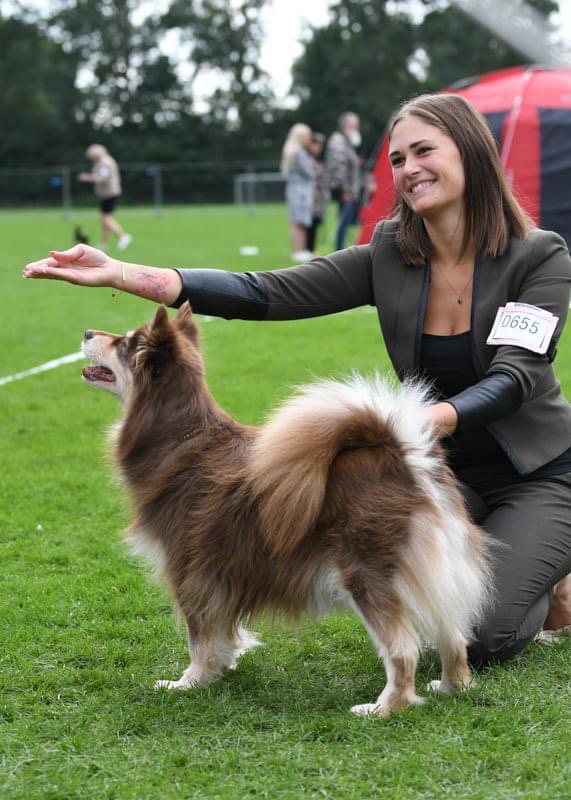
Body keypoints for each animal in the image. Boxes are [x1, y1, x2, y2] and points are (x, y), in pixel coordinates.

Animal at [81, 302, 493, 717]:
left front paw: (189, 682)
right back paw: (451, 687)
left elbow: (199, 637)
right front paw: (221, 668)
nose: (87, 333)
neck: (180, 439)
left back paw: (384, 708)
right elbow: (224, 633)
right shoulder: (222, 573)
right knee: (453, 634)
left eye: (125, 343)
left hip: (367, 574)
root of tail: (405, 458)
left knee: (403, 650)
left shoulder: (190, 571)